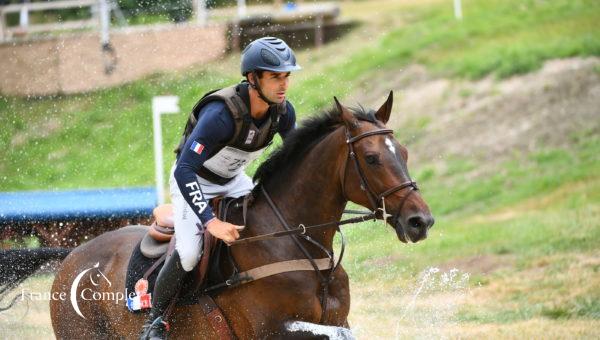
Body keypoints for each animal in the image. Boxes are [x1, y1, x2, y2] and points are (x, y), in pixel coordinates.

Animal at [0, 91, 432, 338]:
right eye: (372, 159)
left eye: (405, 153)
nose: (420, 221)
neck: (297, 243)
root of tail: (74, 255)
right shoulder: (269, 330)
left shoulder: (336, 320)